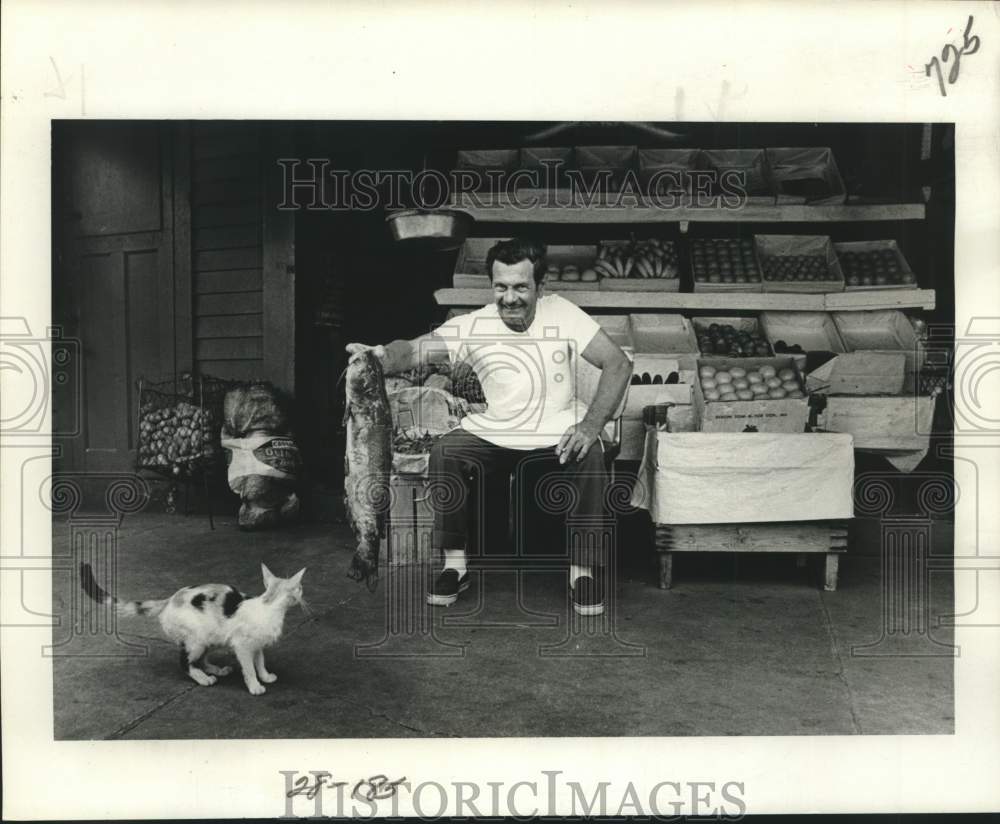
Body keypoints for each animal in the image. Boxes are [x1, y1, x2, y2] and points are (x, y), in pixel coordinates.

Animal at [78, 560, 306, 696]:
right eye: (300, 588)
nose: (302, 594)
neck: (269, 605)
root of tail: (170, 599)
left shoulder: (257, 645)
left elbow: (260, 662)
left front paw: (265, 676)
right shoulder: (243, 646)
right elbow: (249, 668)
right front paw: (255, 686)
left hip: (209, 639)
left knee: (201, 659)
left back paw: (216, 669)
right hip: (196, 640)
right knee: (185, 663)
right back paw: (204, 678)